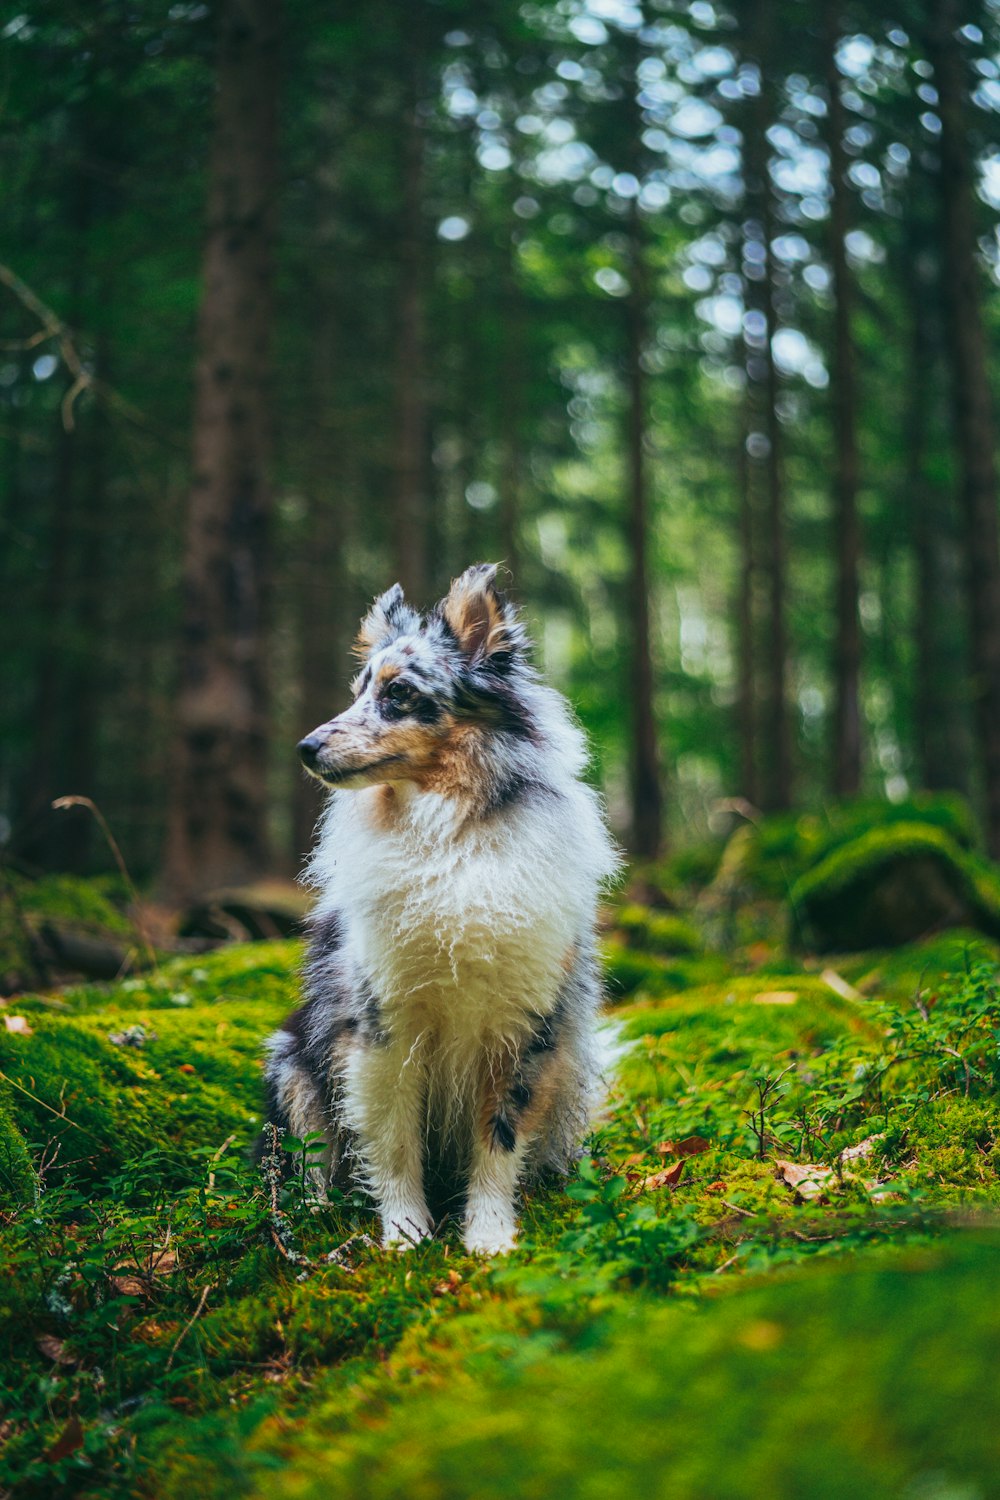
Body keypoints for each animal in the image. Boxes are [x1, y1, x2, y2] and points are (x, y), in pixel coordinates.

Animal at [257, 564, 617, 1254]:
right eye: (358, 691)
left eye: (398, 694)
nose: (305, 748)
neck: (450, 836)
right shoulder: (381, 1028)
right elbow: (394, 1142)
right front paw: (404, 1233)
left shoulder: (522, 1029)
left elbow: (499, 1141)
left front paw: (490, 1235)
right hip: (292, 1066)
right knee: (313, 1162)